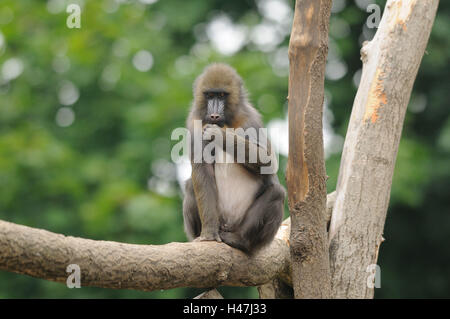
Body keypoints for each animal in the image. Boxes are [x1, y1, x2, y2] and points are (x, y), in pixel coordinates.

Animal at [182, 63, 284, 255]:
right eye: (210, 95)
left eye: (222, 95)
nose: (214, 115)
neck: (226, 122)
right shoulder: (195, 123)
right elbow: (202, 171)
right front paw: (208, 235)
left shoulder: (250, 119)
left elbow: (267, 162)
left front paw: (219, 135)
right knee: (191, 186)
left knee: (277, 192)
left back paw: (239, 240)